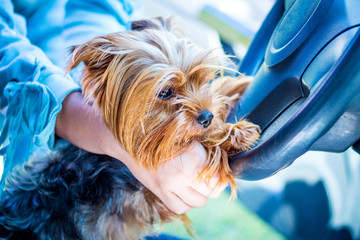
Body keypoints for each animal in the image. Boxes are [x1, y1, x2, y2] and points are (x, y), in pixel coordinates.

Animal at [0, 17, 260, 239]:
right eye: (165, 92)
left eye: (202, 80)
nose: (206, 117)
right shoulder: (149, 196)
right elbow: (197, 145)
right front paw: (234, 134)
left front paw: (235, 88)